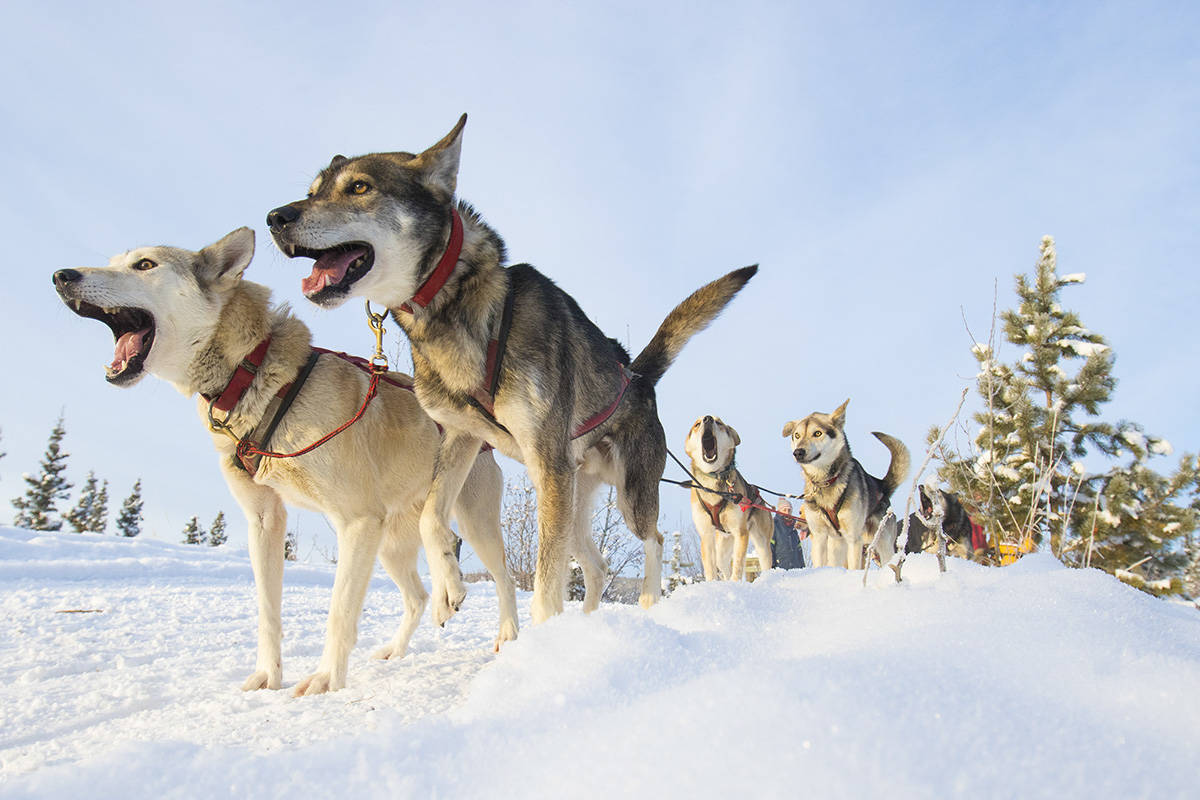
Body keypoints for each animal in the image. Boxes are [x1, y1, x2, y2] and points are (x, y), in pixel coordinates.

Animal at [54, 226, 518, 695]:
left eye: (144, 265)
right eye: (113, 262)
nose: (62, 275)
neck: (253, 372)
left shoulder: (356, 522)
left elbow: (339, 611)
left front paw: (327, 678)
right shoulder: (265, 521)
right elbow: (267, 609)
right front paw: (268, 676)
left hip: (468, 526)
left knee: (504, 579)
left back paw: (510, 638)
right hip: (390, 543)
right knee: (420, 592)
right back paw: (413, 629)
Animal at [267, 115, 753, 623]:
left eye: (359, 186)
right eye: (312, 191)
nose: (275, 218)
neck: (465, 305)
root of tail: (636, 375)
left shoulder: (546, 460)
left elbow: (544, 586)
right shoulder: (461, 436)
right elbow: (430, 516)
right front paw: (449, 585)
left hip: (622, 492)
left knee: (653, 540)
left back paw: (647, 600)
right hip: (570, 495)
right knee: (595, 565)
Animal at [686, 417, 768, 578]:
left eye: (719, 423)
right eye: (697, 424)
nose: (708, 418)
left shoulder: (741, 533)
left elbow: (738, 566)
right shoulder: (706, 535)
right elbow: (710, 570)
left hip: (761, 542)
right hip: (723, 549)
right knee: (723, 565)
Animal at [777, 400, 907, 568]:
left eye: (817, 433)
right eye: (797, 435)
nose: (798, 452)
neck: (825, 482)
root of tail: (881, 485)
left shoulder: (853, 539)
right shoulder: (820, 538)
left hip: (882, 543)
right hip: (837, 545)